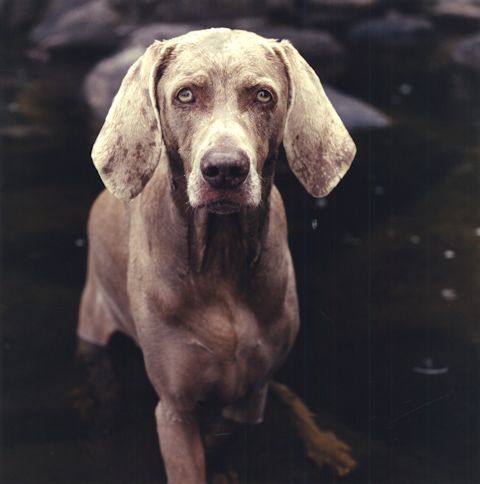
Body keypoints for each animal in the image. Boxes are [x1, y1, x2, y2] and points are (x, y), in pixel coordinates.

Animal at [79, 27, 356, 484]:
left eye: (263, 95)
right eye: (185, 95)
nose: (225, 169)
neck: (221, 257)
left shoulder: (251, 389)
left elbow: (231, 425)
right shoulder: (174, 407)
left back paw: (325, 446)